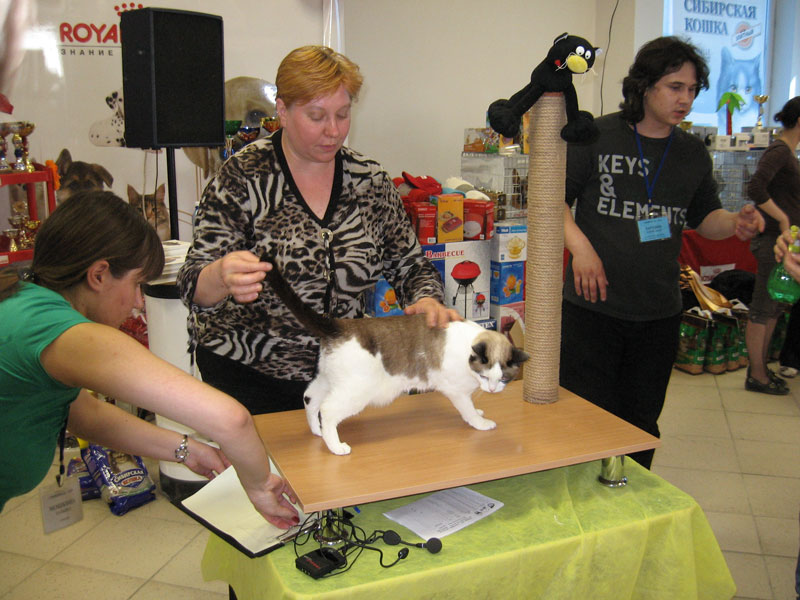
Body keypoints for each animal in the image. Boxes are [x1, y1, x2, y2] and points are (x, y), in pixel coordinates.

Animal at [262, 257, 529, 455]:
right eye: (485, 377)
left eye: (504, 379)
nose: (493, 390)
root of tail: (338, 325)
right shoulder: (456, 392)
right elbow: (469, 411)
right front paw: (482, 422)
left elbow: (474, 406)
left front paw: (481, 410)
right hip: (356, 391)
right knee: (327, 409)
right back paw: (336, 446)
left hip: (328, 380)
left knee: (309, 398)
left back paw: (316, 431)